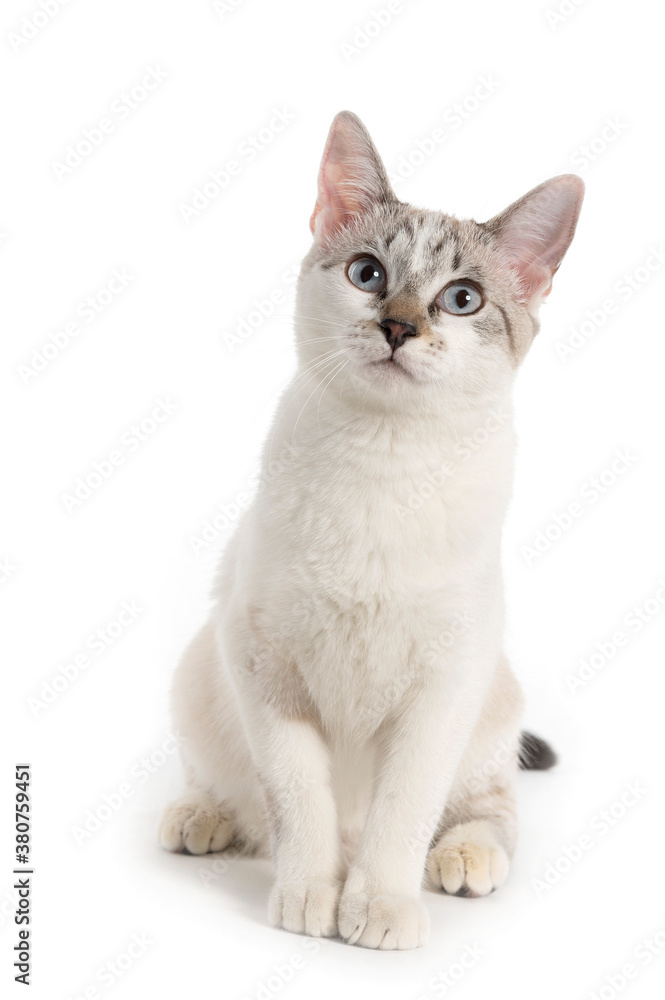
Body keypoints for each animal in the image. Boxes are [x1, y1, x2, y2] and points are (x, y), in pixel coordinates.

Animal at [160, 111, 580, 952]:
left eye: (461, 299)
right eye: (367, 274)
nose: (396, 326)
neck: (381, 464)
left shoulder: (442, 688)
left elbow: (403, 813)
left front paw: (378, 910)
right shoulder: (264, 666)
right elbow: (299, 802)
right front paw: (310, 899)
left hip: (491, 698)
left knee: (490, 807)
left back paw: (464, 860)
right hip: (198, 673)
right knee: (230, 789)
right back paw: (201, 818)